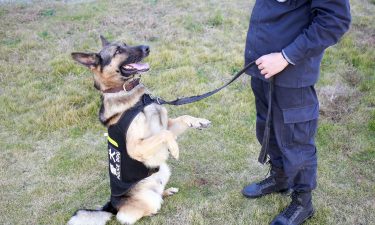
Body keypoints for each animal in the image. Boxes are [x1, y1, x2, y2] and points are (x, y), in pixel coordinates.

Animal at [68, 36, 210, 224]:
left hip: (163, 170)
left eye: (125, 44)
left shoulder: (167, 124)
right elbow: (165, 134)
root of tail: (111, 205)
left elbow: (183, 117)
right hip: (147, 201)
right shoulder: (136, 147)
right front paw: (174, 148)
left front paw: (199, 122)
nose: (147, 48)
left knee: (160, 192)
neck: (137, 99)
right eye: (118, 51)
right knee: (134, 213)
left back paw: (167, 191)